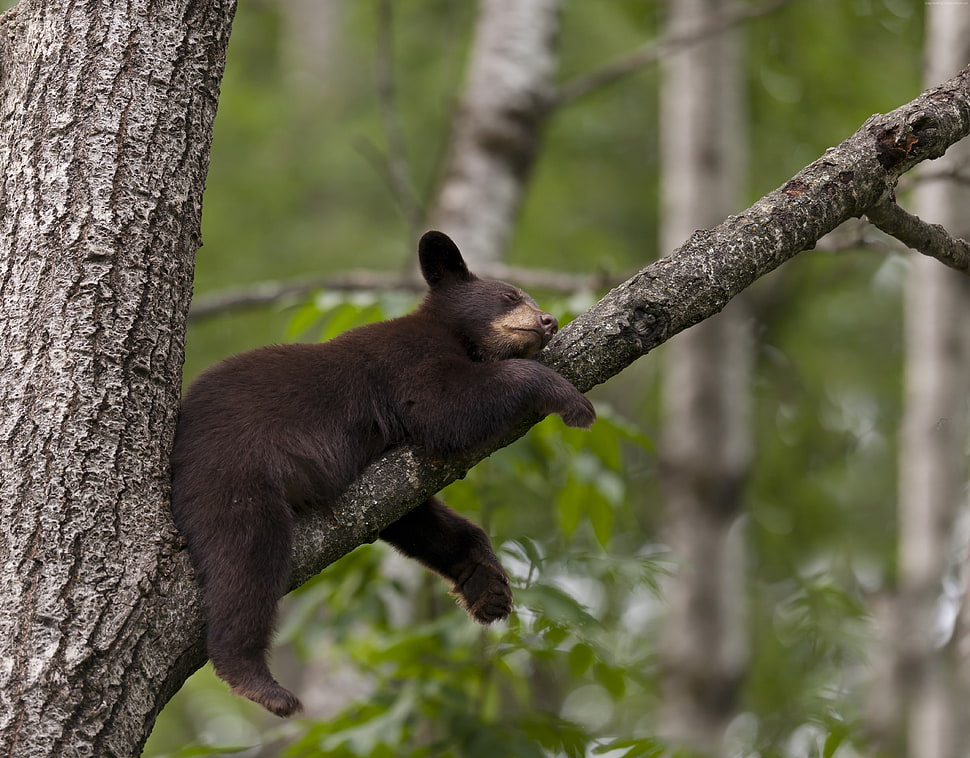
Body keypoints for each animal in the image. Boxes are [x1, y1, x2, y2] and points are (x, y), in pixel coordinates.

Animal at [169, 230, 596, 717]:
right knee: (246, 558)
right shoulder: (406, 359)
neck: (456, 336)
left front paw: (486, 585)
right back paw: (257, 679)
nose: (549, 320)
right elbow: (443, 406)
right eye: (510, 296)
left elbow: (414, 515)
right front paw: (568, 397)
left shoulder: (389, 473)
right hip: (230, 472)